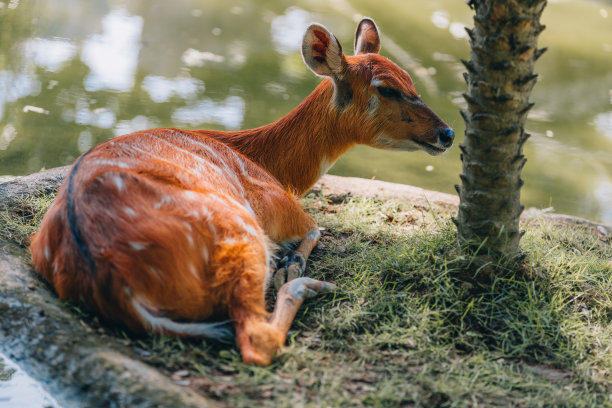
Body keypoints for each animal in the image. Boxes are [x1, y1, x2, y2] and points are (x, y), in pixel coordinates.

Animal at [31, 17, 456, 364]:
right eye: (387, 89)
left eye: (412, 81)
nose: (447, 133)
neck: (271, 166)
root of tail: (112, 282)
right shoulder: (278, 205)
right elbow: (316, 226)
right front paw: (292, 263)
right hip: (242, 234)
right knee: (256, 337)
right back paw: (302, 282)